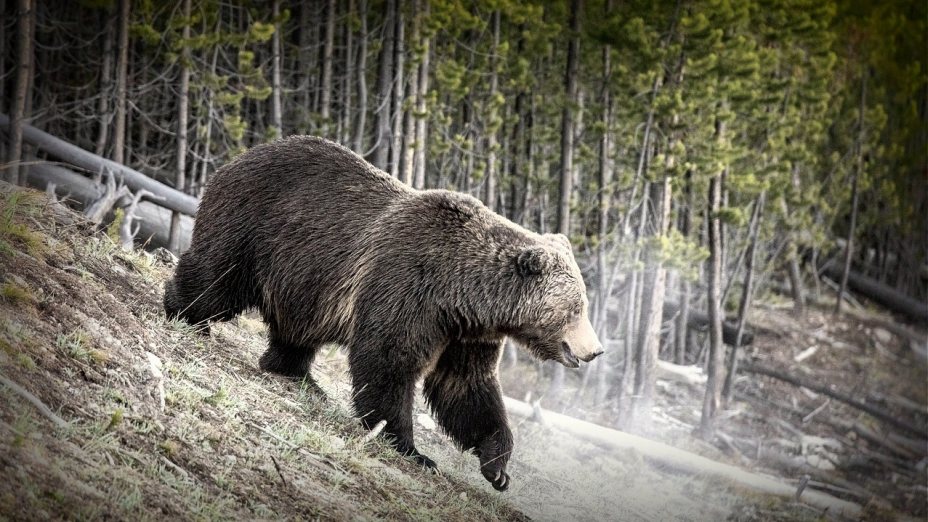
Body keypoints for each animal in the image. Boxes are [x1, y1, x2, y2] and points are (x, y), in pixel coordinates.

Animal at [164, 134, 604, 488]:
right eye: (577, 308)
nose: (595, 350)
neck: (464, 292)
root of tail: (240, 156)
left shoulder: (466, 332)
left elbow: (466, 386)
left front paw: (497, 465)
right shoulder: (409, 285)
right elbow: (388, 359)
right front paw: (411, 448)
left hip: (304, 279)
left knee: (297, 328)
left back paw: (299, 374)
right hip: (255, 225)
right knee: (218, 277)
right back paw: (185, 313)